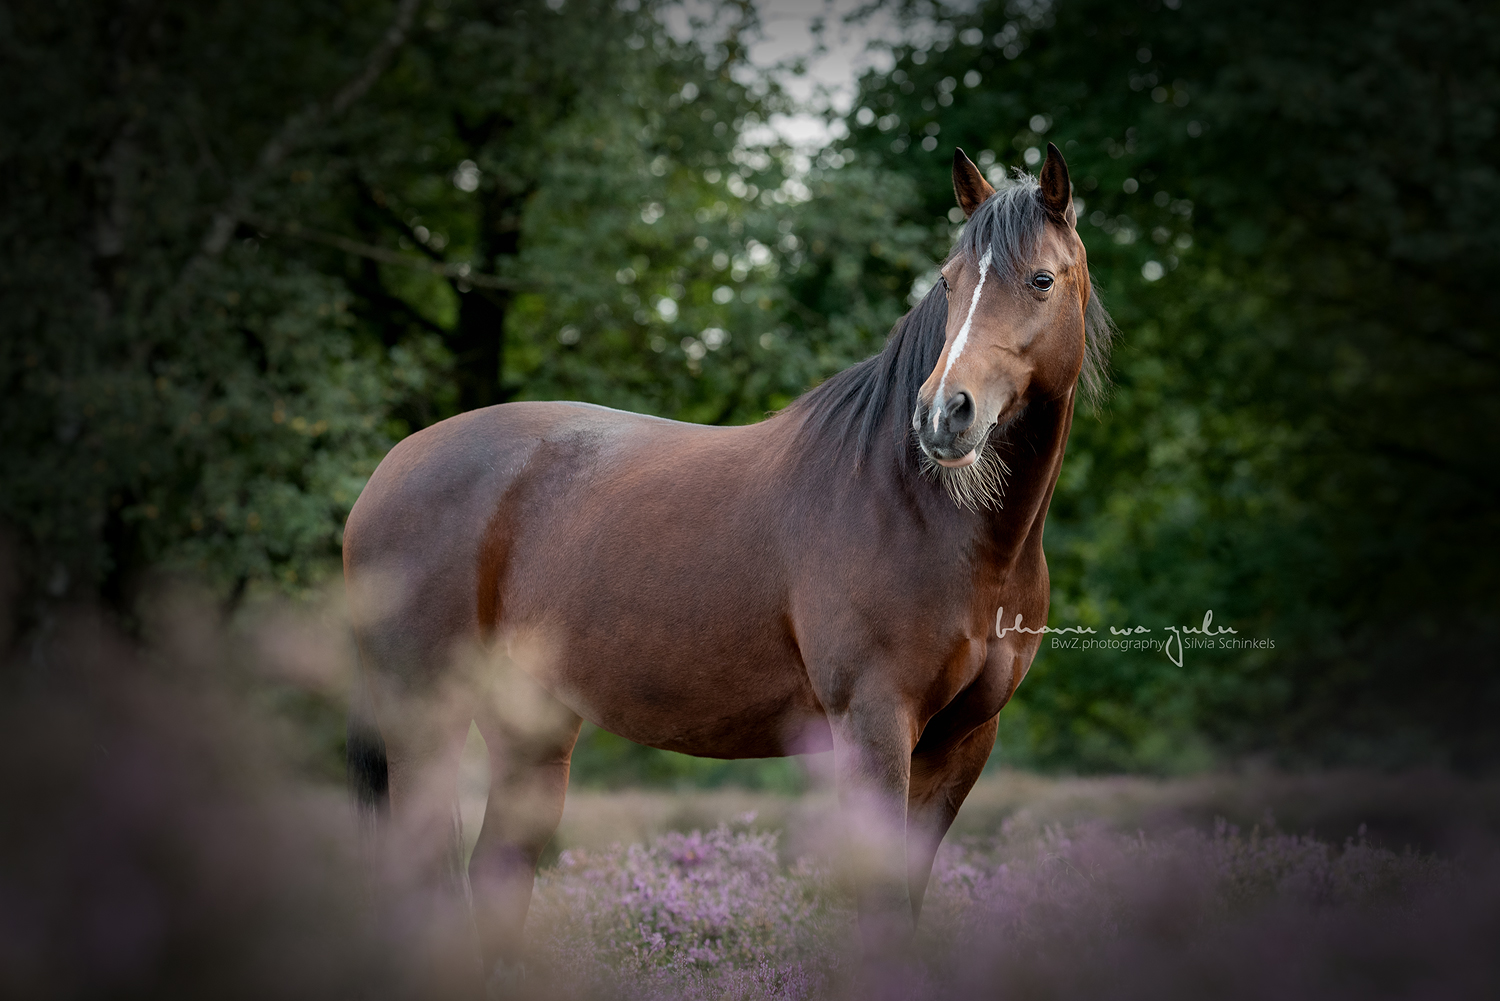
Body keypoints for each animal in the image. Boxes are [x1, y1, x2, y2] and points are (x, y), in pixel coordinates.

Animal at [343, 144, 1116, 990]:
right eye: (948, 281)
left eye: (1040, 279)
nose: (945, 414)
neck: (916, 506)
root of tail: (389, 470)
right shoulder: (874, 723)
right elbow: (879, 906)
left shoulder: (964, 740)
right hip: (426, 716)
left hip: (531, 729)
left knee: (497, 875)